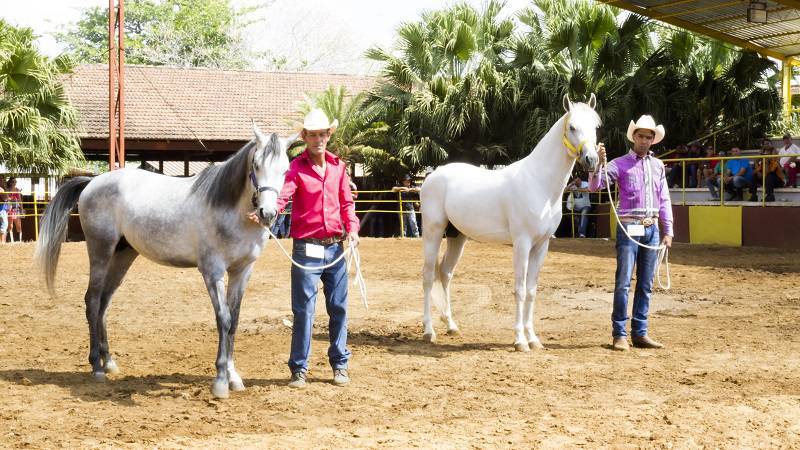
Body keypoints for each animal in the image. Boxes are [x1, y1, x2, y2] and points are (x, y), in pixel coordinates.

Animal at [35, 124, 294, 398]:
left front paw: (234, 377)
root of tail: (93, 181)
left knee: (104, 302)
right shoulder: (212, 271)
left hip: (123, 254)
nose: (268, 213)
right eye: (256, 164)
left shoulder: (242, 271)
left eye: (285, 169)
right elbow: (223, 319)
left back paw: (109, 362)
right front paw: (221, 381)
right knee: (93, 301)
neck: (230, 210)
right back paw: (96, 367)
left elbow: (233, 320)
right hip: (100, 250)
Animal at [418, 93, 600, 350]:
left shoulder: (541, 245)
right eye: (572, 127)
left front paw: (533, 339)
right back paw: (429, 331)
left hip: (457, 236)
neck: (538, 182)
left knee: (445, 273)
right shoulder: (522, 243)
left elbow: (532, 290)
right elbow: (520, 290)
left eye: (595, 126)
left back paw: (451, 325)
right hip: (433, 231)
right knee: (427, 276)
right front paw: (520, 341)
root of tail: (433, 176)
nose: (591, 159)